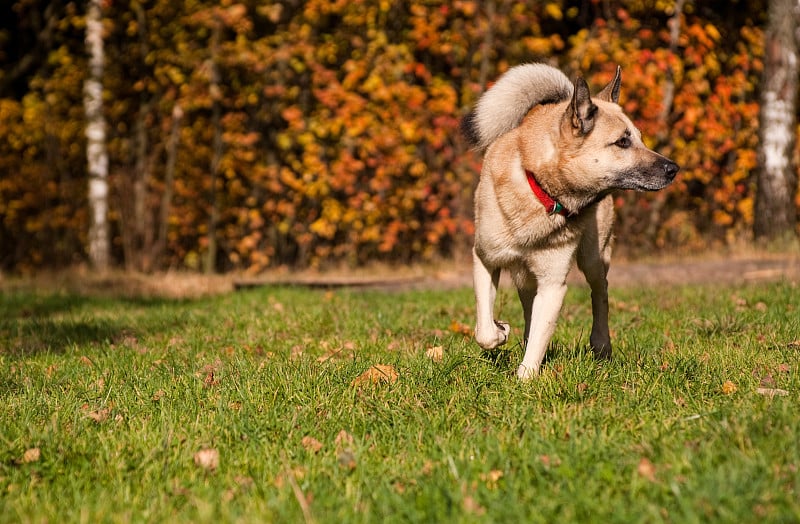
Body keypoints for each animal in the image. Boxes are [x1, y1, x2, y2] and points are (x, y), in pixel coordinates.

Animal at [460, 63, 680, 378]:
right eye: (622, 142)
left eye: (639, 138)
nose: (674, 169)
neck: (541, 189)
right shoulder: (485, 258)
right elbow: (485, 331)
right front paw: (501, 331)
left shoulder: (553, 284)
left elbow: (539, 337)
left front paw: (524, 380)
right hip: (526, 278)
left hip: (593, 259)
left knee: (600, 294)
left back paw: (601, 345)